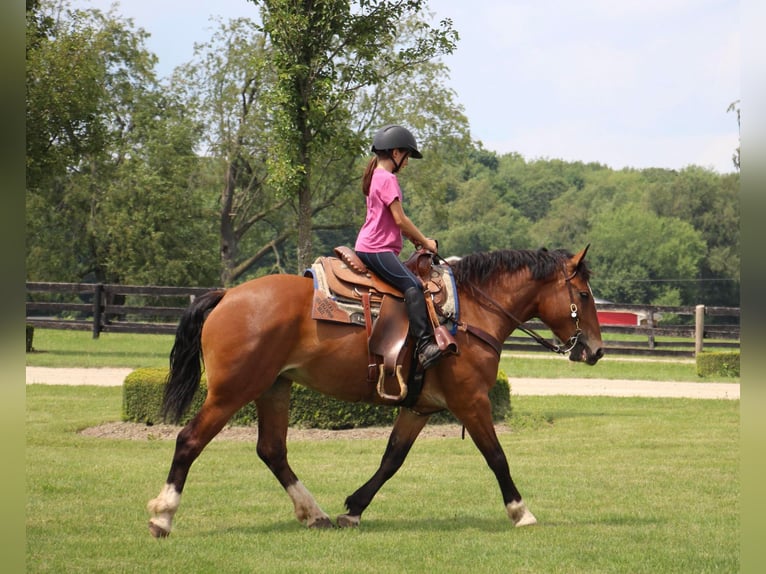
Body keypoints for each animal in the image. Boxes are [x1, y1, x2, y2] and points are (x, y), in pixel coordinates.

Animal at [148, 245, 608, 536]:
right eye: (584, 294)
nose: (595, 350)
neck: (469, 313)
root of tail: (228, 294)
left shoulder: (419, 407)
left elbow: (392, 459)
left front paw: (353, 509)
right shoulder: (471, 401)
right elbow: (497, 457)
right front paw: (521, 512)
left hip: (274, 387)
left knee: (272, 450)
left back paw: (313, 513)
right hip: (233, 391)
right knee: (189, 440)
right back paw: (163, 515)